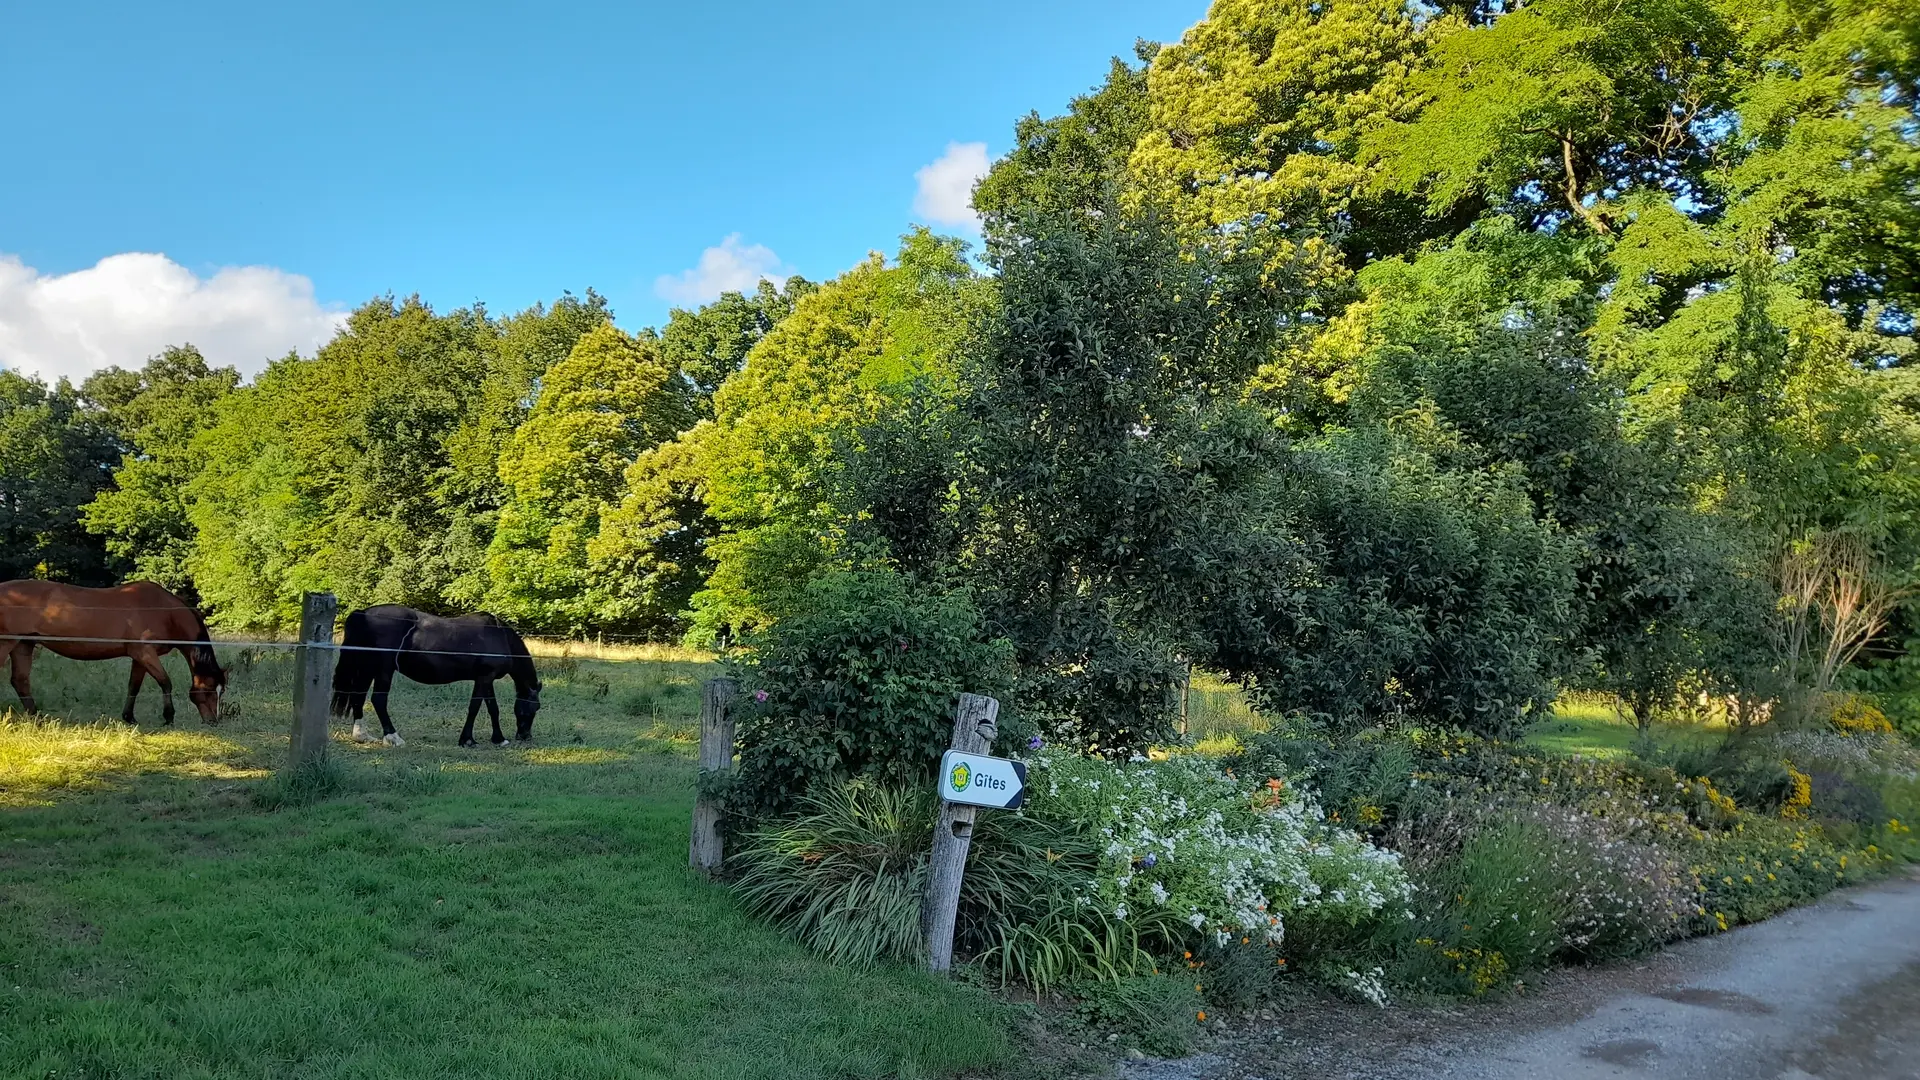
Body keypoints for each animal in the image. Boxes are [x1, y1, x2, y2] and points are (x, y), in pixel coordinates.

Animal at [0, 580, 229, 722]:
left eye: (221, 691)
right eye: (209, 690)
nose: (213, 721)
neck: (163, 612)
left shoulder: (139, 657)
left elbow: (133, 686)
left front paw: (129, 717)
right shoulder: (145, 654)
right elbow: (165, 682)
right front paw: (168, 716)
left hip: (23, 645)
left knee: (20, 681)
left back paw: (36, 717)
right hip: (7, 644)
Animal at [330, 599, 541, 745]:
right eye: (536, 707)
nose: (525, 736)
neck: (499, 635)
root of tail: (363, 613)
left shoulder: (486, 679)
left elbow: (492, 709)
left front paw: (499, 739)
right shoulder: (484, 678)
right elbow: (474, 708)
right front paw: (467, 740)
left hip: (367, 668)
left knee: (358, 697)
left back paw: (362, 736)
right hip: (383, 670)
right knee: (379, 701)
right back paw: (393, 737)